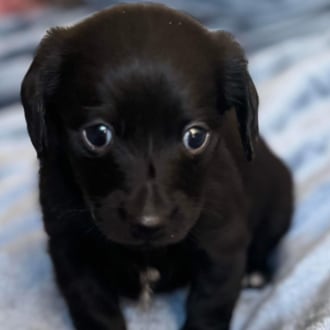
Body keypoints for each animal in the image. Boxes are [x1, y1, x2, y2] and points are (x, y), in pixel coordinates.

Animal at [21, 3, 294, 330]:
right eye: (97, 135)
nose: (149, 223)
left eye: (195, 137)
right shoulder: (71, 250)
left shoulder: (223, 245)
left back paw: (256, 272)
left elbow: (209, 304)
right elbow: (94, 307)